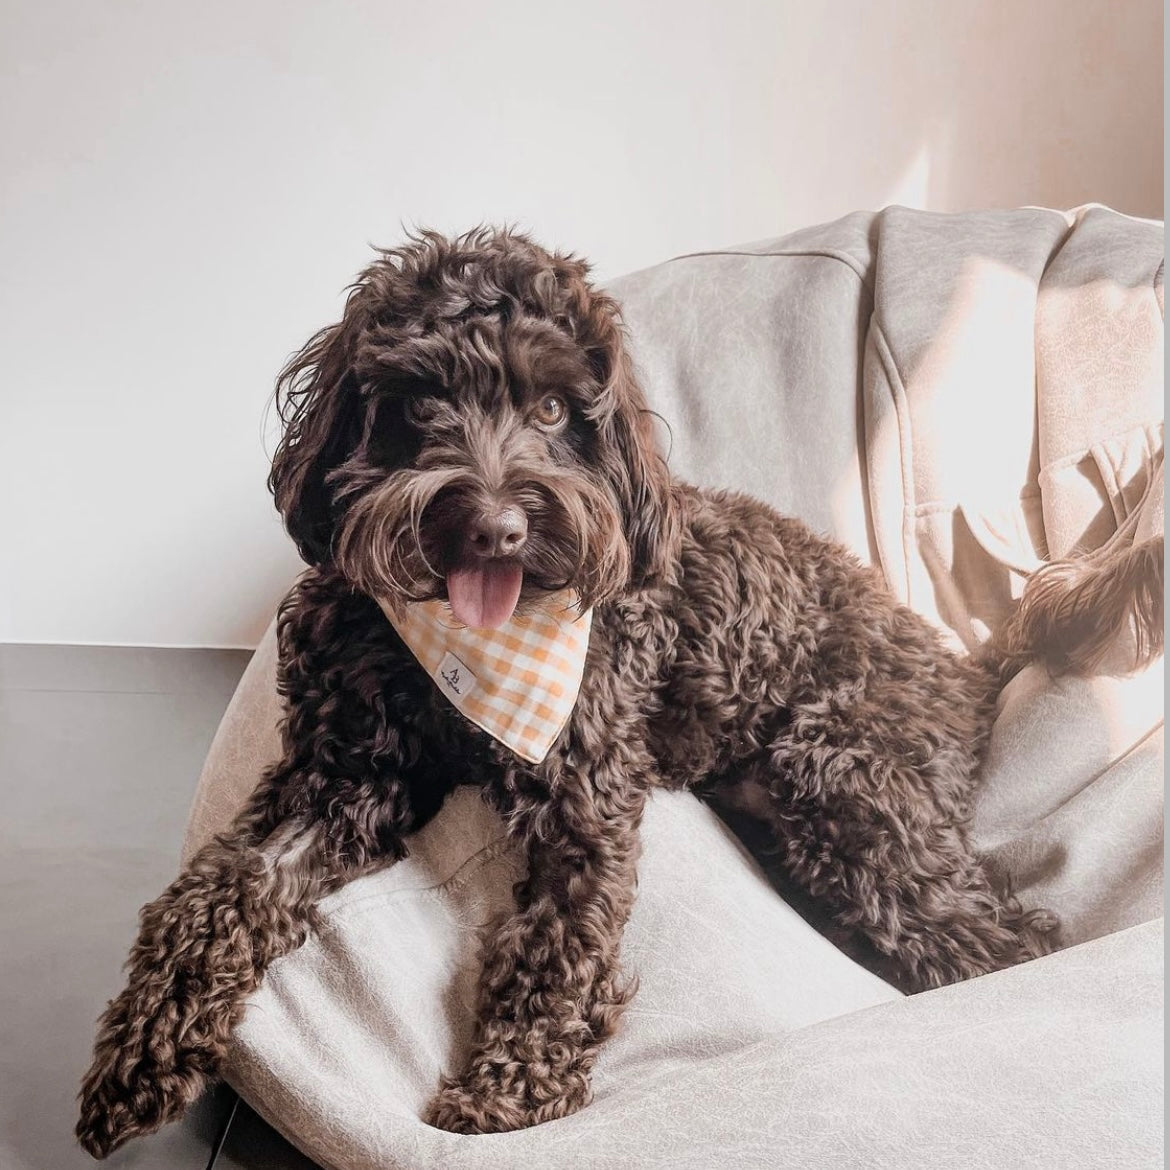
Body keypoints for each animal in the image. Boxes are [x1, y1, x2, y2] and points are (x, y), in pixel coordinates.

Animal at [73, 225, 1071, 1151]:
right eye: (421, 402)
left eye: (553, 407)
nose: (495, 528)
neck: (468, 652)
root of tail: (959, 672)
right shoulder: (343, 779)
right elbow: (225, 884)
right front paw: (142, 1046)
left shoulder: (584, 795)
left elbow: (561, 942)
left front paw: (508, 1096)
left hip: (847, 786)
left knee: (1008, 941)